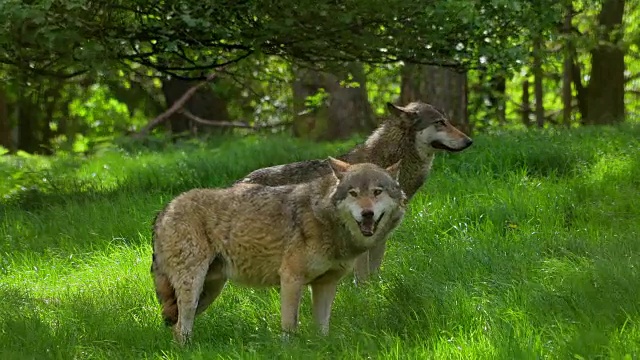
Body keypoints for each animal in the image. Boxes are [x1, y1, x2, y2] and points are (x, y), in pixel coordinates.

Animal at [151, 157, 404, 344]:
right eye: (353, 193)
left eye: (377, 192)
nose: (367, 214)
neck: (325, 220)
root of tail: (165, 209)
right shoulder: (291, 278)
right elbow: (290, 327)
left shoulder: (326, 284)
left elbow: (322, 328)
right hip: (193, 287)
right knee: (180, 329)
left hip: (209, 291)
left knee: (176, 327)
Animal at [238, 100, 472, 282]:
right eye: (440, 123)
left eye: (447, 121)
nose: (470, 141)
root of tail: (242, 180)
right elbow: (362, 277)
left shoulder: (380, 237)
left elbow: (374, 273)